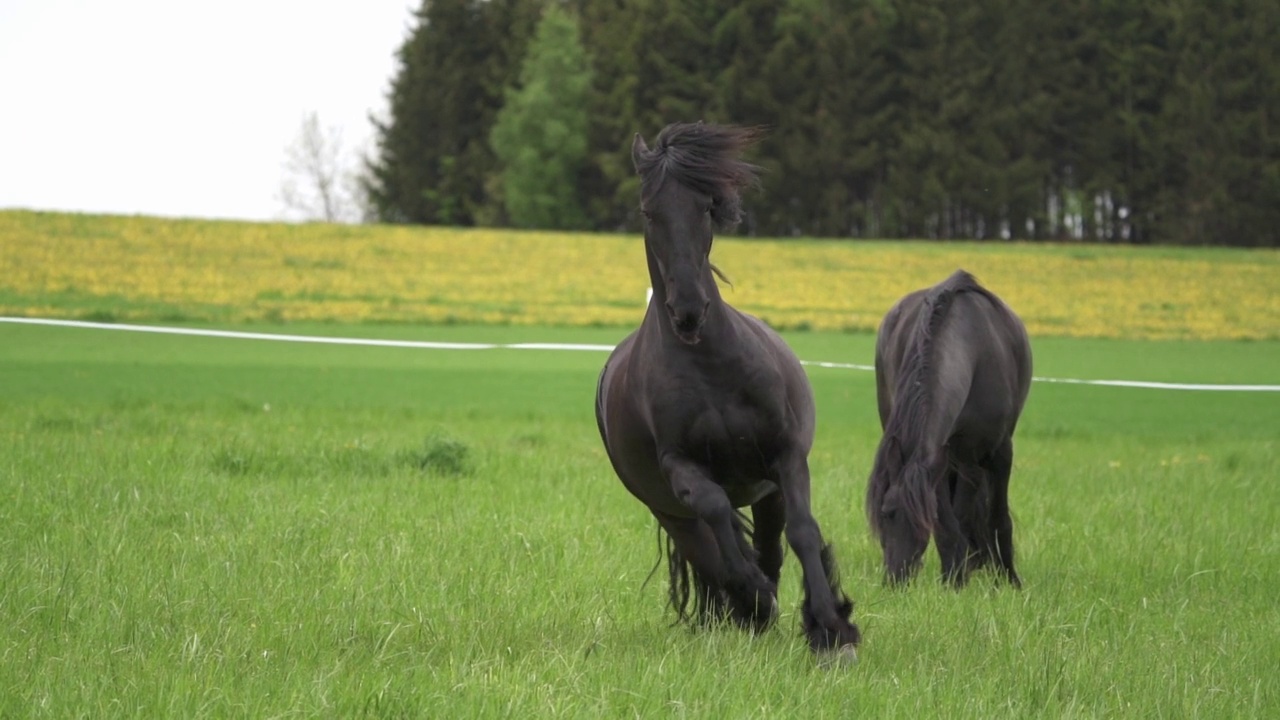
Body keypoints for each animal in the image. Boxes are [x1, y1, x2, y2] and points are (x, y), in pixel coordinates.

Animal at [591, 122, 860, 655]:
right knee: (710, 552)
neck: (710, 367)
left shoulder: (785, 457)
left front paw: (831, 627)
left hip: (765, 493)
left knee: (770, 546)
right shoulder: (681, 468)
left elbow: (803, 532)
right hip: (670, 510)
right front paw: (755, 595)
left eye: (706, 207)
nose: (689, 311)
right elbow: (718, 516)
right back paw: (747, 607)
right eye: (649, 211)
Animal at [865, 266, 1034, 586]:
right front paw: (953, 582)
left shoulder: (999, 453)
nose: (895, 579)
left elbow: (997, 519)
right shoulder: (942, 461)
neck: (974, 354)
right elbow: (947, 525)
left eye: (918, 521)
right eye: (887, 513)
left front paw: (1009, 581)